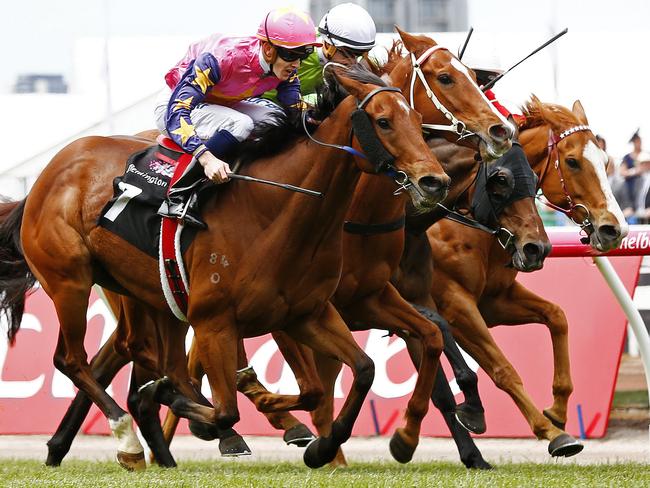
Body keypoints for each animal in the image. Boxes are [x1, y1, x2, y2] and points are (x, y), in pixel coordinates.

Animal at [392, 95, 624, 458]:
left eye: (605, 160)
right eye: (572, 161)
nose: (615, 229)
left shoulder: (494, 300)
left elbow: (557, 316)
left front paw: (557, 409)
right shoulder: (455, 304)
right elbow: (502, 367)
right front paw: (550, 432)